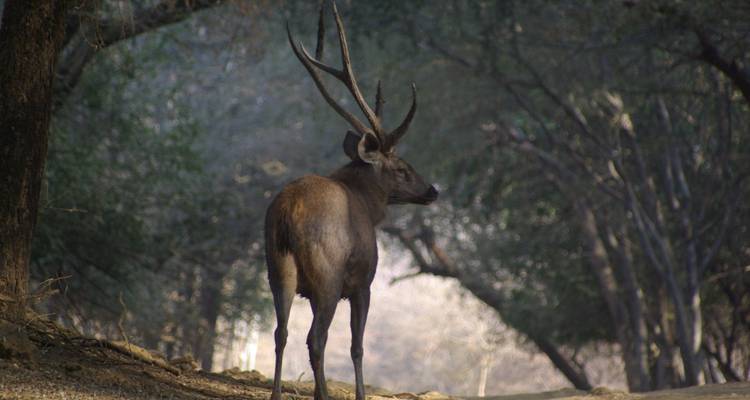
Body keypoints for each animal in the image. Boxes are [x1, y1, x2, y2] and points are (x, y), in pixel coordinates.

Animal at [265, 3, 438, 400]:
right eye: (403, 168)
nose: (432, 190)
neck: (368, 206)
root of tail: (287, 214)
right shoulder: (362, 282)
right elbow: (357, 346)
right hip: (327, 273)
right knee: (316, 339)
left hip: (277, 267)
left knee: (282, 333)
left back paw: (278, 393)